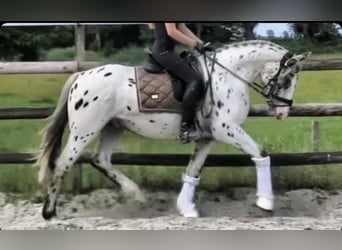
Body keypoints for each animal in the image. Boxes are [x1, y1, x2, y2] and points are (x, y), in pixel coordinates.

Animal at [34, 39, 310, 219]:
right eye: (287, 78)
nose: (283, 112)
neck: (227, 76)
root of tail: (81, 76)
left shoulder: (208, 138)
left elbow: (193, 171)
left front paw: (186, 209)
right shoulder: (227, 130)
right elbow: (261, 154)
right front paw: (266, 203)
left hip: (114, 128)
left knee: (100, 160)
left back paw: (137, 195)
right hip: (85, 130)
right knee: (63, 164)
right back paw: (50, 213)